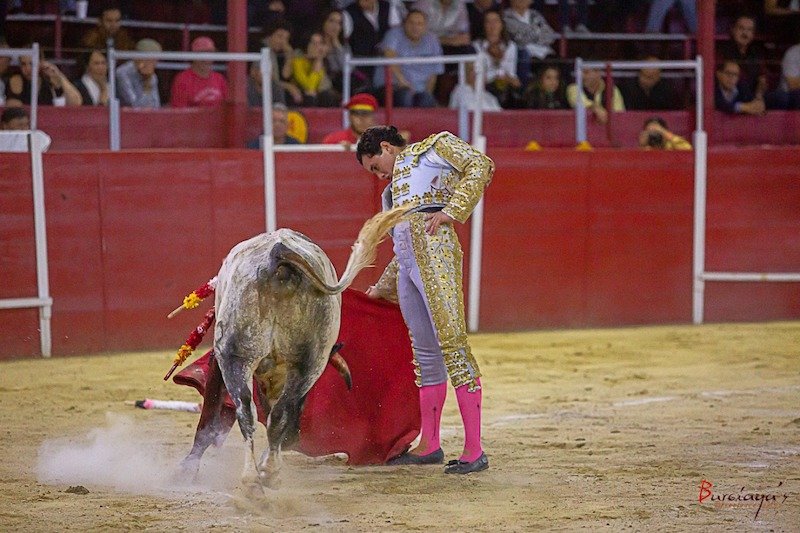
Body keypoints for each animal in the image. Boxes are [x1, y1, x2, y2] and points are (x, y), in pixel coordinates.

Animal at [178, 207, 407, 488]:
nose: (297, 434)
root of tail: (278, 257)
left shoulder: (221, 359)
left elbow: (211, 413)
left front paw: (188, 467)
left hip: (235, 355)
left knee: (248, 410)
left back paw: (256, 476)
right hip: (309, 361)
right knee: (276, 413)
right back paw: (264, 474)